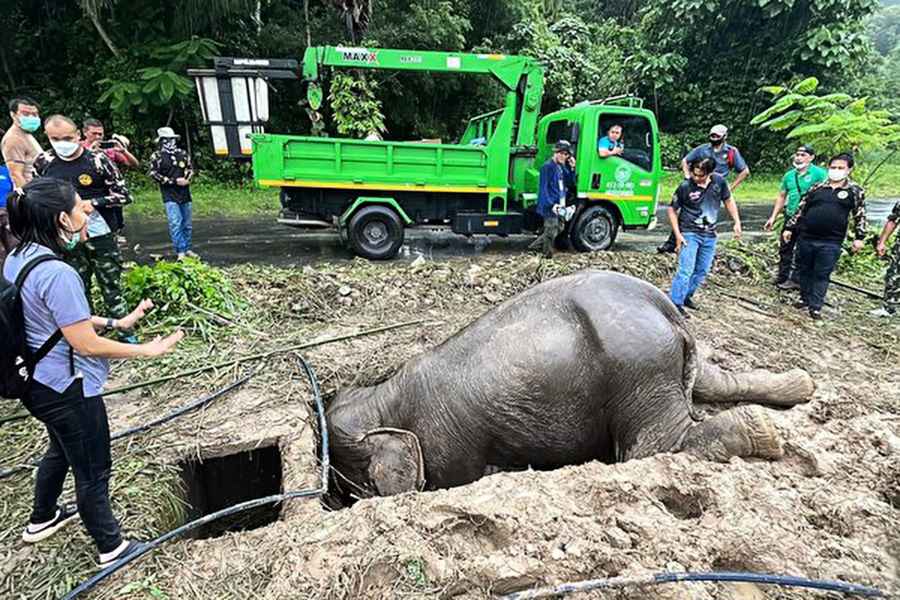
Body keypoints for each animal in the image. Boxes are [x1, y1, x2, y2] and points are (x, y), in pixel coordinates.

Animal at [328, 270, 816, 500]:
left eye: (353, 487)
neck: (383, 395)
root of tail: (666, 308)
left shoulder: (448, 444)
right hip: (664, 362)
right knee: (715, 382)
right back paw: (801, 388)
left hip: (637, 370)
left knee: (653, 447)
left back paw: (763, 432)